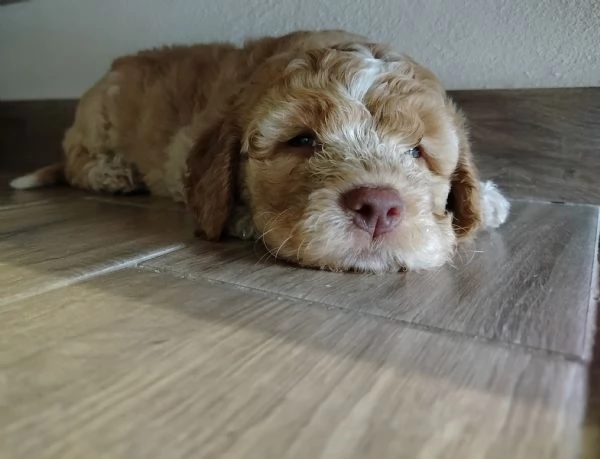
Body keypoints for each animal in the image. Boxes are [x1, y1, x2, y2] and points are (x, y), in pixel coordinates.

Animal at [11, 29, 508, 274]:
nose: (379, 207)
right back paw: (114, 174)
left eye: (417, 151)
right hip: (100, 116)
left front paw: (487, 200)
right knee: (78, 159)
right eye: (301, 140)